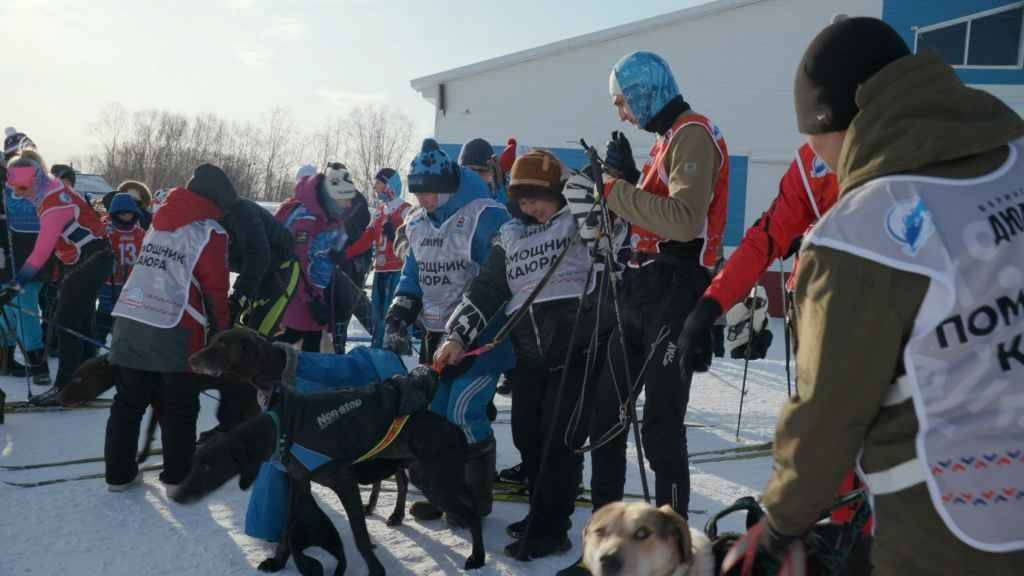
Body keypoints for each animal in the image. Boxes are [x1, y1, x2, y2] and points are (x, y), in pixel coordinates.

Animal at [176, 325, 487, 569]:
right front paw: (278, 561)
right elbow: (288, 528)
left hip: (431, 479)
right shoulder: (298, 482)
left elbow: (359, 536)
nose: (190, 359)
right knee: (401, 479)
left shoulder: (343, 481)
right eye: (213, 340)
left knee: (467, 511)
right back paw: (385, 509)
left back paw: (475, 556)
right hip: (406, 462)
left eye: (222, 345)